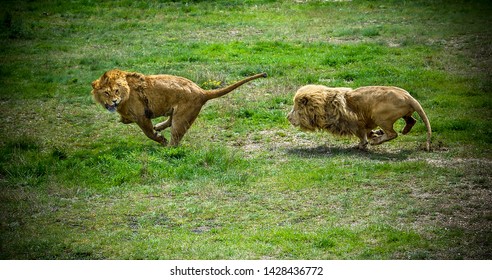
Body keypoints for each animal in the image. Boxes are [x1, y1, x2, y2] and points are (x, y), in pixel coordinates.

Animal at [92, 69, 270, 147]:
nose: (114, 101)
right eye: (106, 93)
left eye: (116, 91)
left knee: (175, 137)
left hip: (182, 117)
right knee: (169, 120)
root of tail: (202, 91)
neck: (125, 94)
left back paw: (166, 149)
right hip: (177, 111)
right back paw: (159, 126)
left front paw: (160, 139)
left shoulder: (142, 116)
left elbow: (149, 133)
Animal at [286, 85, 432, 151]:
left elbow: (361, 135)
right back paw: (404, 131)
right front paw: (375, 134)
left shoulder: (354, 123)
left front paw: (364, 143)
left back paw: (376, 141)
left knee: (393, 134)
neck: (324, 104)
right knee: (412, 120)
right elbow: (368, 132)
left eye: (296, 108)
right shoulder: (364, 123)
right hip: (400, 115)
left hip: (379, 116)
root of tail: (409, 96)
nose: (287, 117)